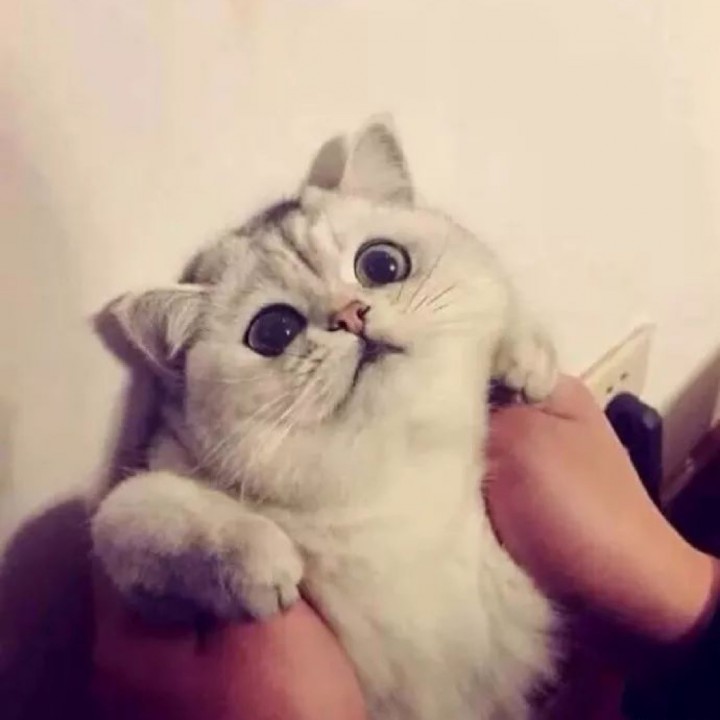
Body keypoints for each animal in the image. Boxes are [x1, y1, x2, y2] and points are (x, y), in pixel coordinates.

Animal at [92, 118, 560, 719]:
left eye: (382, 264)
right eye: (273, 331)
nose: (351, 315)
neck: (392, 478)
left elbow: (503, 304)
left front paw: (526, 362)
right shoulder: (132, 560)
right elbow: (147, 513)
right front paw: (261, 564)